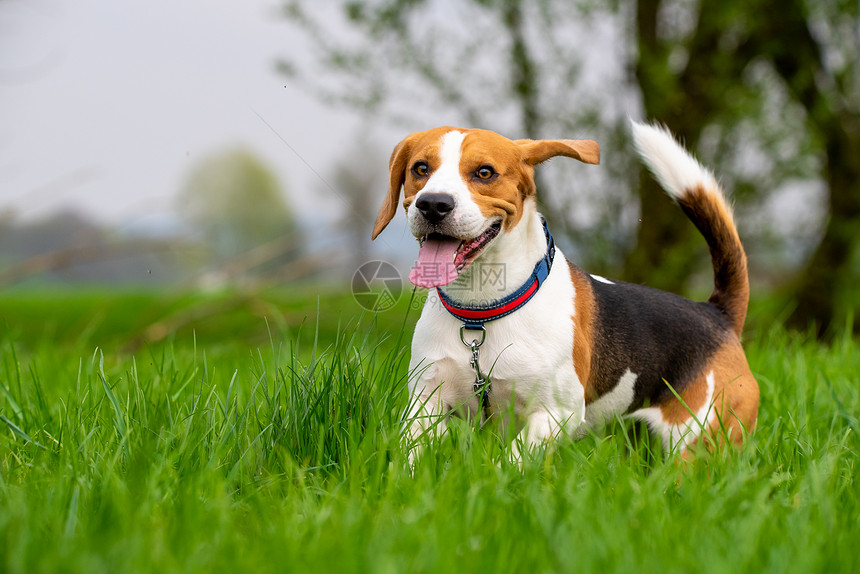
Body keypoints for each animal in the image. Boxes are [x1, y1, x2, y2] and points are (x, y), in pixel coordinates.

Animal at [372, 122, 760, 460]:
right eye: (421, 168)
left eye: (484, 172)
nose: (433, 204)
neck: (480, 312)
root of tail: (716, 314)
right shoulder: (426, 404)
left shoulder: (555, 413)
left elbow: (510, 462)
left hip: (699, 440)